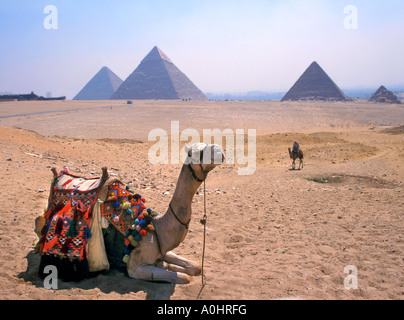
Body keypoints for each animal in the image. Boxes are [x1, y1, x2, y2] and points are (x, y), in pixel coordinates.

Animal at [35, 144, 224, 284]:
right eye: (196, 153)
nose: (219, 150)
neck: (154, 226)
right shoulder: (135, 267)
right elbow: (184, 277)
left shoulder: (161, 249)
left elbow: (195, 266)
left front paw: (169, 264)